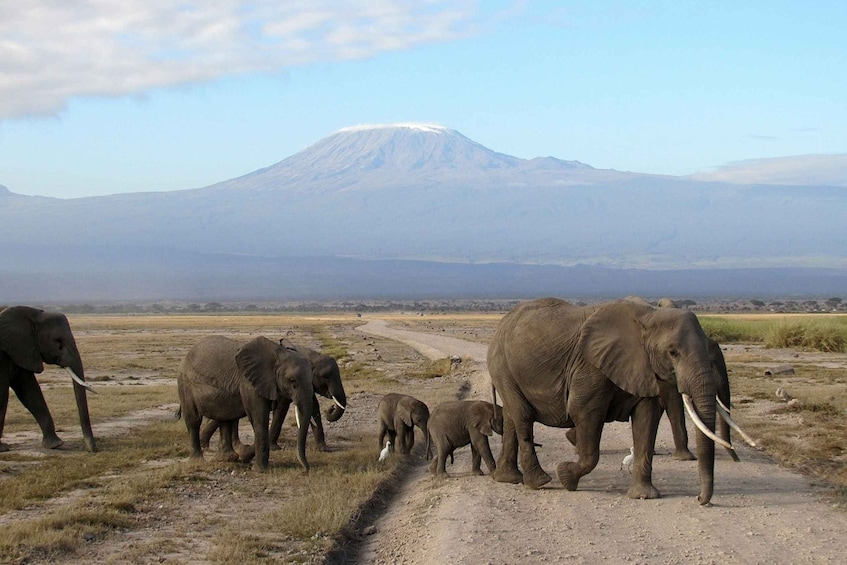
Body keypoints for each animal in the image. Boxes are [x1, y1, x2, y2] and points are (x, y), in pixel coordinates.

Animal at [0, 306, 97, 452]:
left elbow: (30, 391)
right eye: (59, 342)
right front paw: (2, 448)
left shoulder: (23, 350)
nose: (94, 449)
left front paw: (55, 444)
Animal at [178, 334, 314, 472]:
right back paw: (197, 461)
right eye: (293, 381)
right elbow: (259, 417)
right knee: (194, 420)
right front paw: (260, 470)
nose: (306, 470)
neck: (277, 354)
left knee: (225, 418)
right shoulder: (248, 383)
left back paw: (227, 459)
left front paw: (246, 457)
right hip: (185, 384)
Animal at [486, 298, 740, 504]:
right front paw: (565, 476)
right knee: (523, 417)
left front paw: (644, 496)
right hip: (502, 365)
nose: (699, 499)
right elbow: (583, 412)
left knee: (511, 418)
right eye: (673, 352)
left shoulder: (643, 367)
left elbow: (647, 419)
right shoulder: (589, 366)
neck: (650, 315)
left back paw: (508, 479)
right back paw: (540, 481)